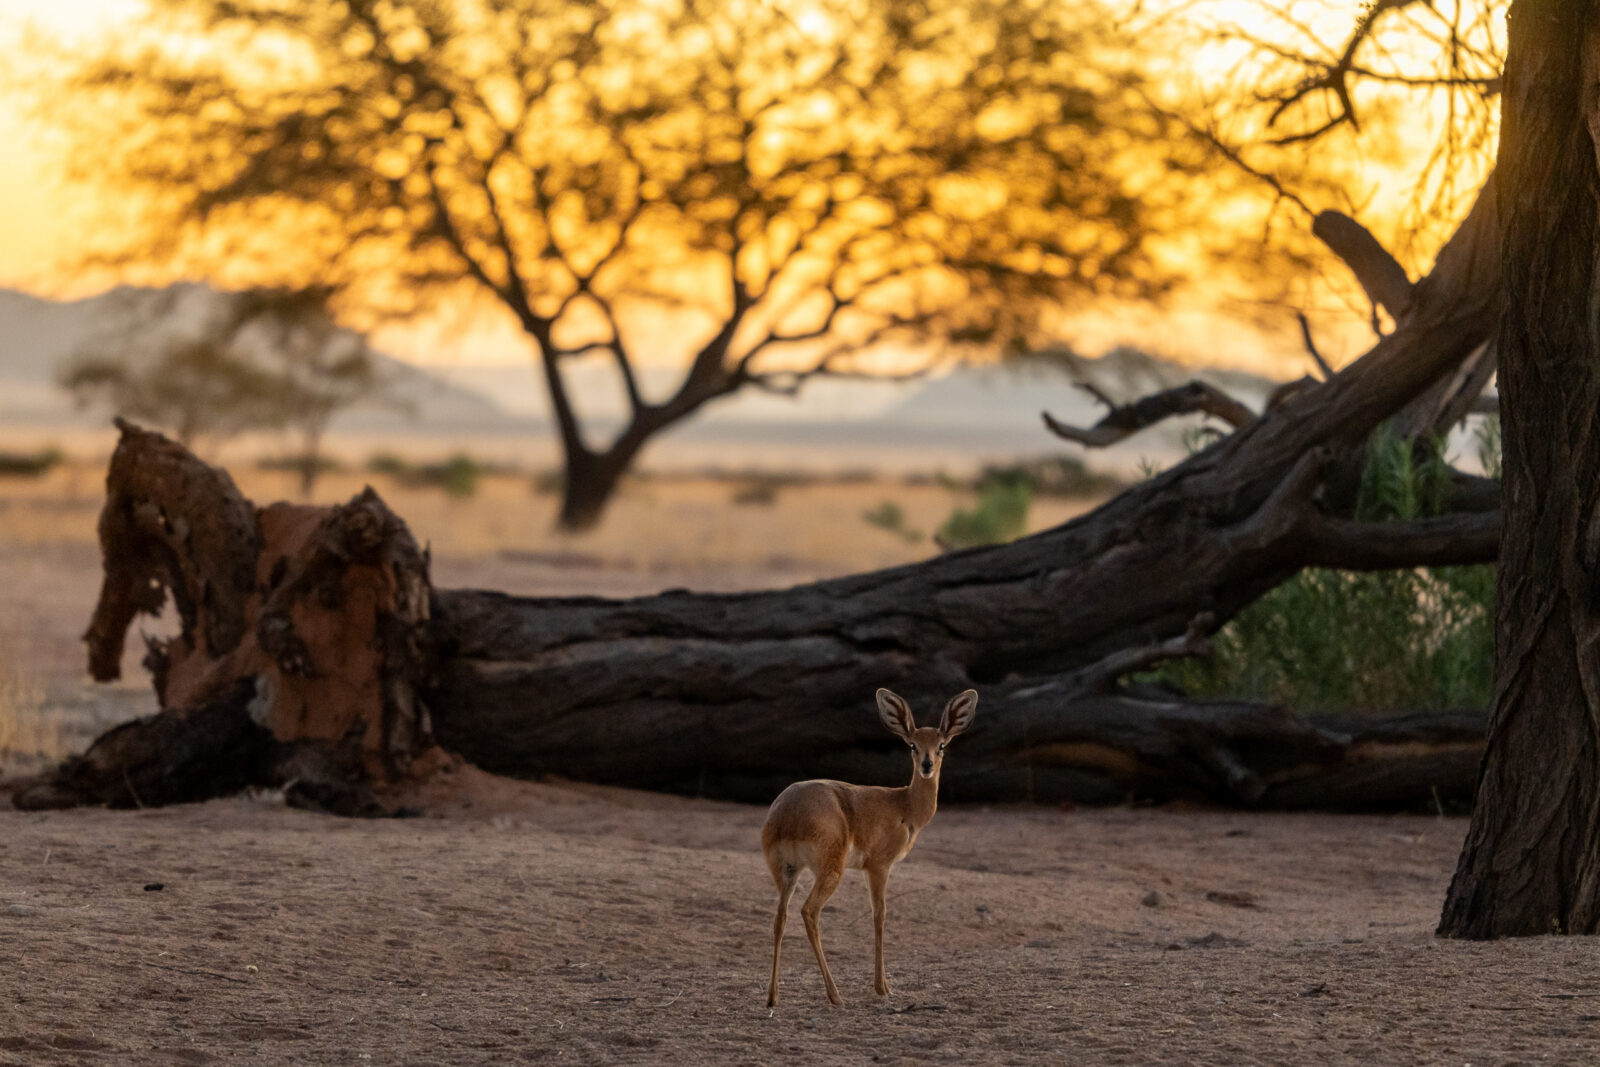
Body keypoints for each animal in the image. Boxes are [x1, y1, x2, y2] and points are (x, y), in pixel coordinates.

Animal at [761, 687, 978, 1007]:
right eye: (912, 745)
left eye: (941, 745)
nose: (926, 766)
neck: (904, 805)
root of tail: (788, 814)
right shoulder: (879, 866)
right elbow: (880, 915)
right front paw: (883, 987)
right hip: (829, 870)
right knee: (809, 912)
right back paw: (835, 995)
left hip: (787, 871)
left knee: (780, 916)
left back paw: (773, 997)